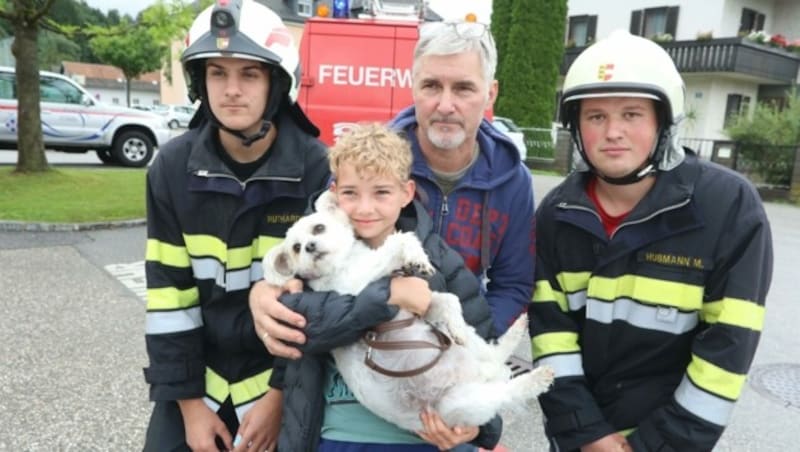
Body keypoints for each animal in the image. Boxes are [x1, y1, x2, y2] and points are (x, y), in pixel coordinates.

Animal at [266, 191, 552, 430]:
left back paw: (513, 333)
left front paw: (453, 319)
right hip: (462, 404)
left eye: (319, 228)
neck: (346, 262)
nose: (309, 247)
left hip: (471, 364)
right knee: (507, 391)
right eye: (296, 248)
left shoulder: (424, 304)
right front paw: (416, 256)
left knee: (490, 353)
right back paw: (537, 378)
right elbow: (399, 239)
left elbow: (448, 300)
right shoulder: (358, 285)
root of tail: (482, 374)